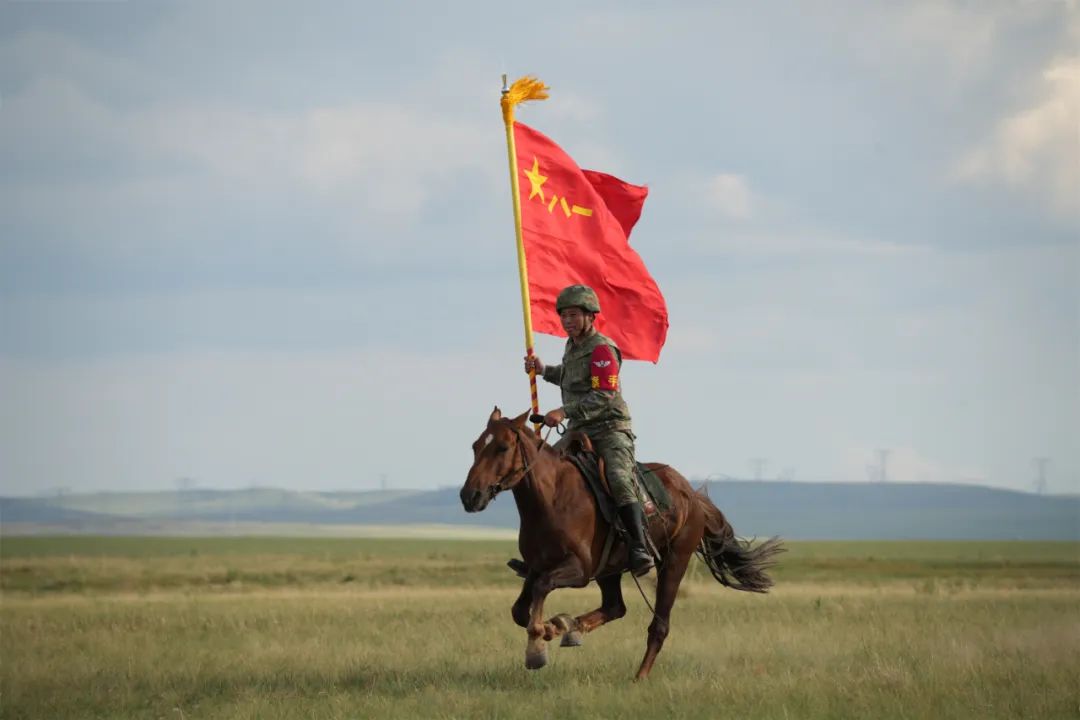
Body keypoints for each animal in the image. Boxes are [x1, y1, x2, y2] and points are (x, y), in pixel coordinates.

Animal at [459, 407, 785, 680]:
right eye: (475, 446)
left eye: (502, 447)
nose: (469, 496)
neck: (552, 498)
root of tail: (692, 497)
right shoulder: (538, 565)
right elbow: (520, 609)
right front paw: (552, 627)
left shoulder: (578, 570)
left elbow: (540, 591)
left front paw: (538, 646)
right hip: (610, 569)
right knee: (615, 607)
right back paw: (570, 627)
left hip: (674, 562)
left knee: (659, 624)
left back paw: (639, 676)